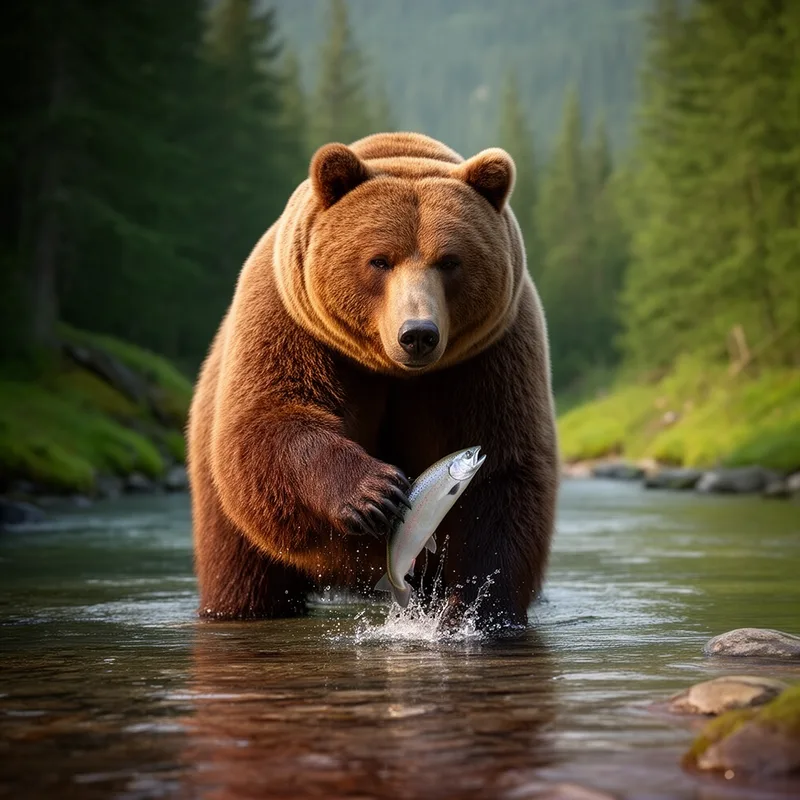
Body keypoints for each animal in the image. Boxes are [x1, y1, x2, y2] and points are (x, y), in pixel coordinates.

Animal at [187, 131, 558, 630]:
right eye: (380, 260)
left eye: (450, 261)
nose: (417, 333)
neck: (390, 369)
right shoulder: (290, 322)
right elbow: (268, 421)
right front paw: (373, 492)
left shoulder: (491, 356)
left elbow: (504, 472)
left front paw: (479, 610)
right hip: (218, 501)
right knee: (241, 567)